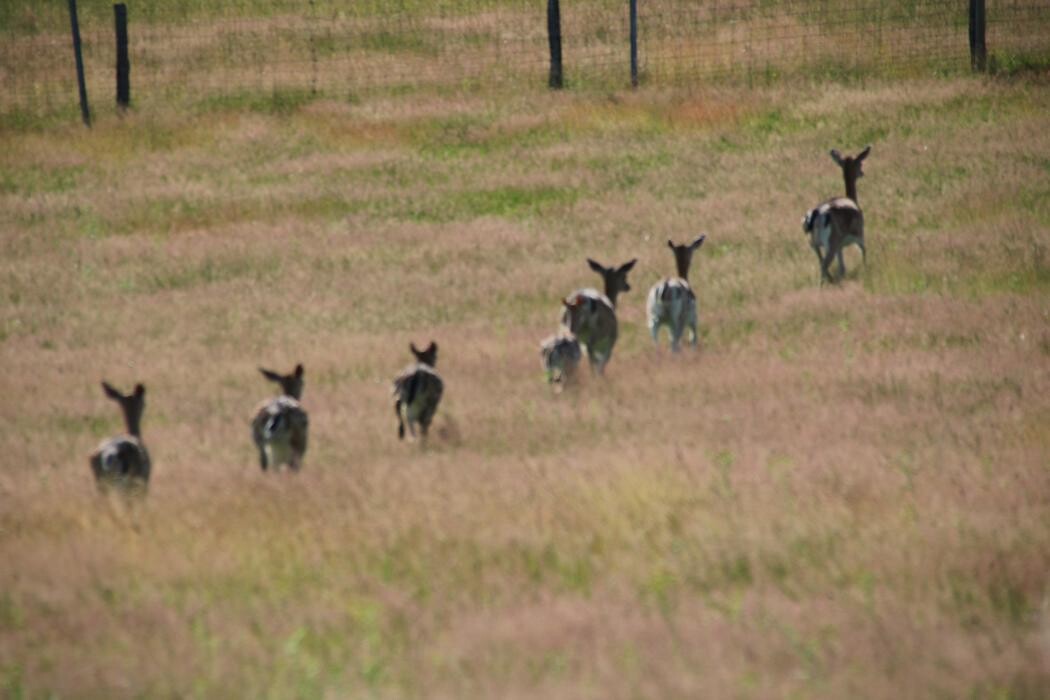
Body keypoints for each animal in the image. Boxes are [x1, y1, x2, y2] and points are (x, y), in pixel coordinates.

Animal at [802, 144, 869, 285]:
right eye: (860, 163)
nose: (862, 173)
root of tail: (816, 215)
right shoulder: (860, 234)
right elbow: (864, 252)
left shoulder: (840, 246)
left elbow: (842, 268)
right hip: (831, 242)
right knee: (824, 265)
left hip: (814, 244)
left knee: (821, 262)